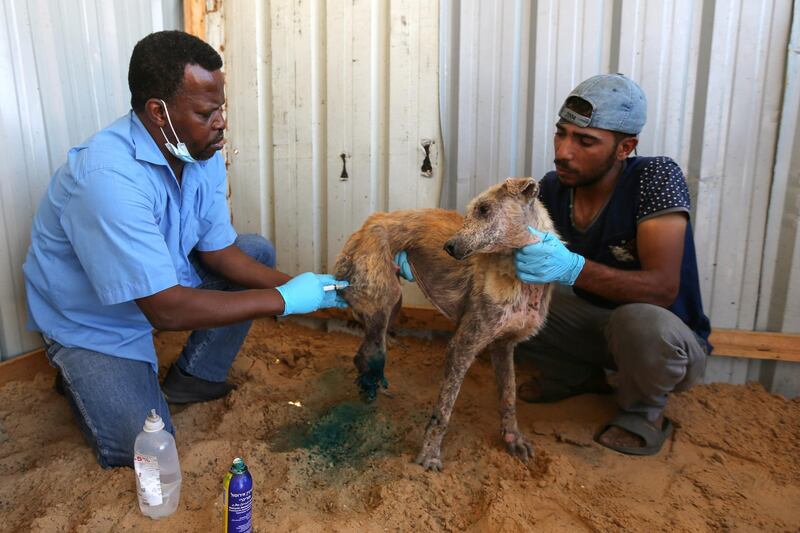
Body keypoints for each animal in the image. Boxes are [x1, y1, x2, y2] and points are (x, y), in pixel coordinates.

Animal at [334, 179, 552, 470]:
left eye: (484, 209)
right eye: (472, 210)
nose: (449, 247)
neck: (519, 276)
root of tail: (373, 220)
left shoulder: (504, 346)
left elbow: (509, 397)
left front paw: (513, 439)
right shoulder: (462, 346)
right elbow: (443, 412)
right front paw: (429, 454)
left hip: (393, 305)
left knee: (363, 356)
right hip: (383, 303)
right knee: (368, 354)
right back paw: (370, 388)